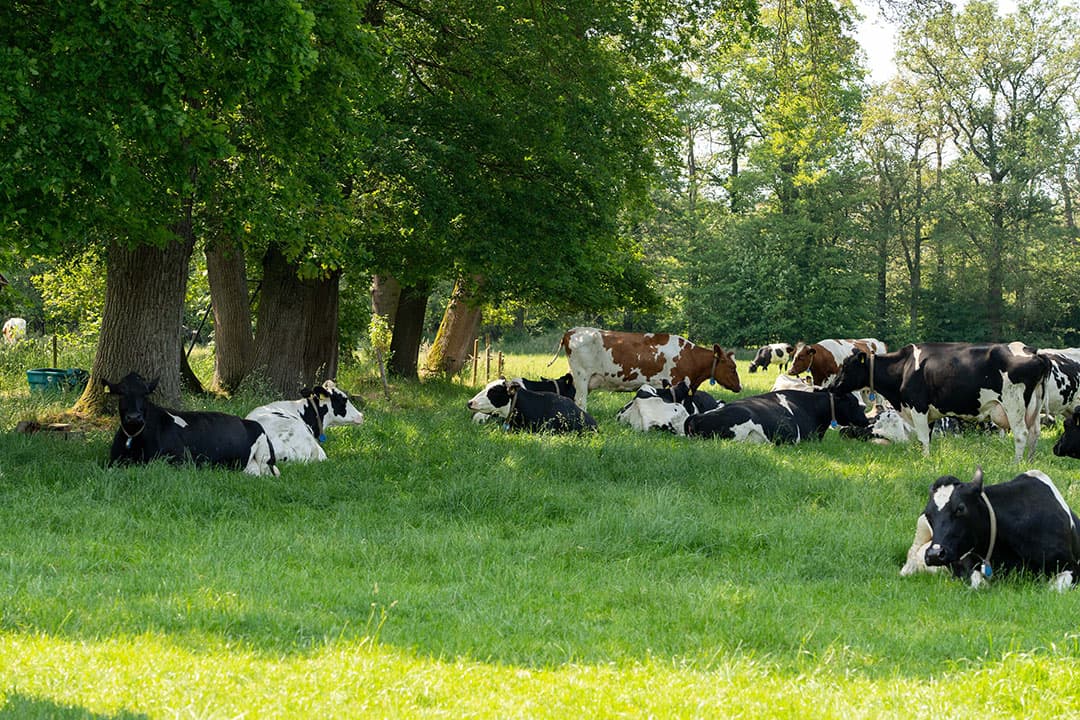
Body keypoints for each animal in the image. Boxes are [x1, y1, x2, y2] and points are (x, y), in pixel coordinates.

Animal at [105, 372, 279, 476]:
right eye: (121, 393)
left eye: (145, 394)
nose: (134, 417)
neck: (134, 438)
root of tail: (244, 420)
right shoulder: (113, 460)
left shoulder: (180, 461)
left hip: (265, 458)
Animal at [551, 327, 741, 410]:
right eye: (732, 367)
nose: (739, 387)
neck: (690, 356)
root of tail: (572, 331)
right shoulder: (675, 382)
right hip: (582, 376)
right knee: (580, 401)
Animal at [830, 343, 1049, 462]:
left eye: (847, 367)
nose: (831, 387)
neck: (904, 366)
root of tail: (1034, 352)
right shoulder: (929, 413)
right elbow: (927, 437)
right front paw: (926, 458)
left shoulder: (918, 406)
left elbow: (922, 438)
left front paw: (925, 460)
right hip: (1034, 407)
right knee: (1035, 433)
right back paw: (1029, 461)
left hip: (1014, 405)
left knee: (1021, 434)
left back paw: (1016, 463)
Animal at [914, 466, 1080, 590]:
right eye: (928, 514)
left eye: (960, 508)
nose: (935, 554)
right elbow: (978, 583)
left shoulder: (1070, 566)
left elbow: (1055, 588)